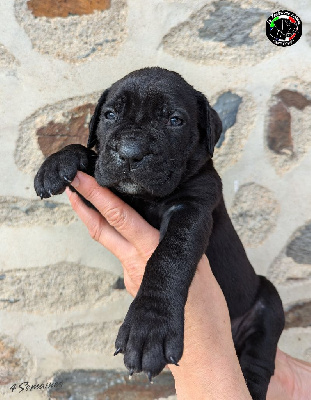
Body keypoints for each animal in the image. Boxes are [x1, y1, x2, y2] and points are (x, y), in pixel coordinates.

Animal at [34, 67, 286, 398]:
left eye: (175, 120)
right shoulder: (112, 195)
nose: (130, 152)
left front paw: (149, 327)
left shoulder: (192, 209)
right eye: (110, 115)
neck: (148, 198)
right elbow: (94, 167)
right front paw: (61, 160)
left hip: (267, 303)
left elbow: (168, 259)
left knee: (259, 359)